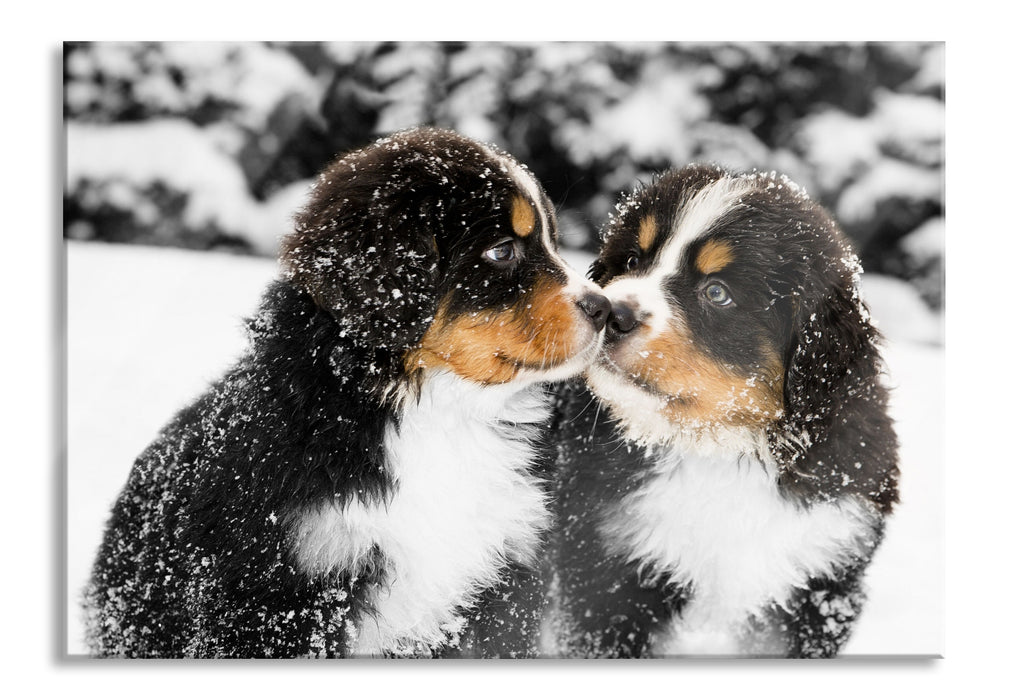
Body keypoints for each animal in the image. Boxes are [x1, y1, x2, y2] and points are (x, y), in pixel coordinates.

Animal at [84, 129, 605, 661]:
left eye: (553, 241)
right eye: (502, 251)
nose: (604, 308)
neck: (438, 414)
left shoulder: (505, 580)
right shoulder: (280, 593)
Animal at [548, 163, 904, 657]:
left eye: (717, 293)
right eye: (634, 260)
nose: (612, 312)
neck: (719, 450)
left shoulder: (824, 580)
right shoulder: (607, 572)